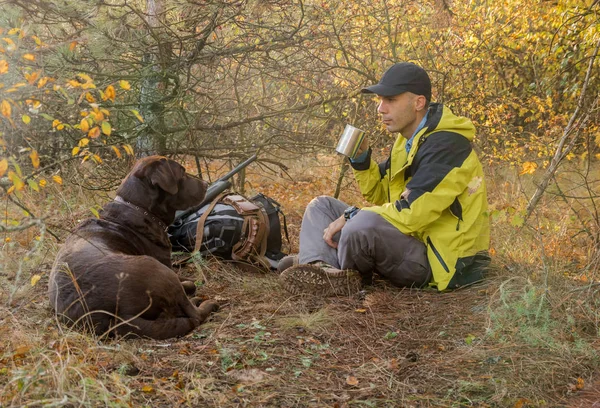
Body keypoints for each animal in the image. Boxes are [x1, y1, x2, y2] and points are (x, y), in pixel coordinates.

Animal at [48, 155, 218, 340]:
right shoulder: (167, 264)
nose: (206, 184)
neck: (138, 208)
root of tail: (117, 315)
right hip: (155, 267)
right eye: (182, 172)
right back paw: (205, 303)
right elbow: (190, 282)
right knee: (193, 315)